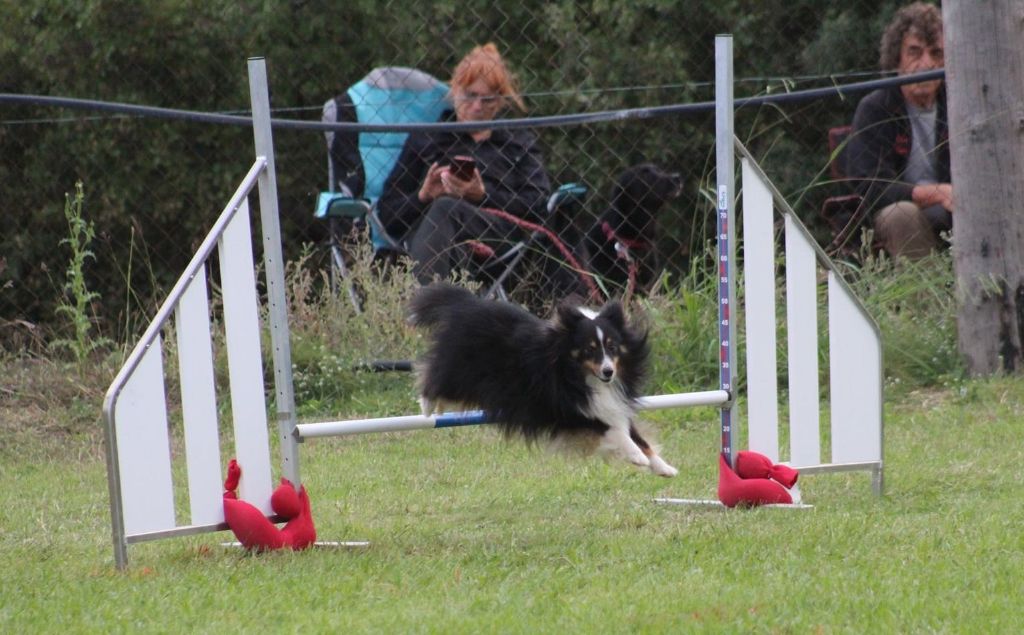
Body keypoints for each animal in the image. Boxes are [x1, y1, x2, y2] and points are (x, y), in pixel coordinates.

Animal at [407, 284, 679, 475]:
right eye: (589, 350)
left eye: (613, 347)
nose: (608, 372)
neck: (580, 376)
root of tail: (465, 304)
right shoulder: (574, 413)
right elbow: (617, 433)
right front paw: (637, 457)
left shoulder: (613, 405)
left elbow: (639, 437)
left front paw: (665, 468)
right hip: (462, 371)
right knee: (432, 376)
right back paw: (427, 406)